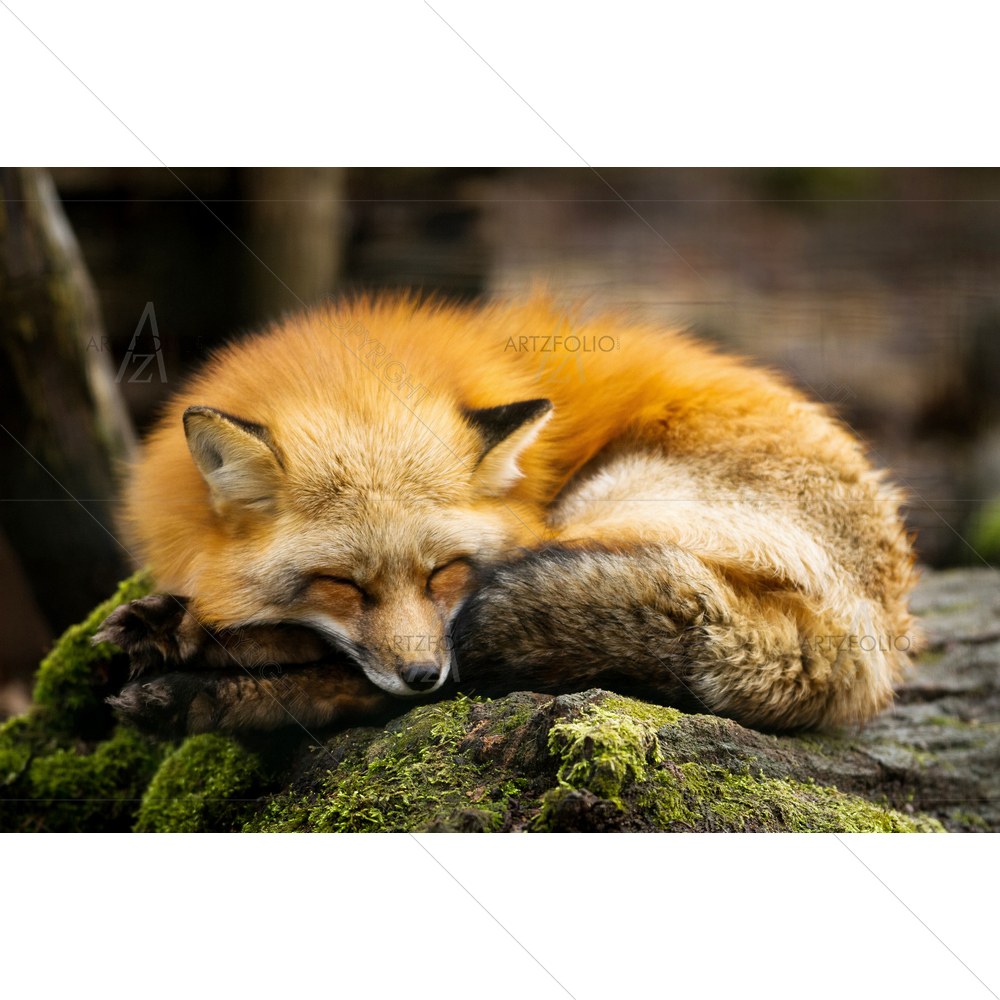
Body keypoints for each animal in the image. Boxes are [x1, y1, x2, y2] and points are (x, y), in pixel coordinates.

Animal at [95, 290, 918, 739]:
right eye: (343, 585)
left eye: (444, 572)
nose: (421, 674)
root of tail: (875, 635)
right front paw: (177, 623)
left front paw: (191, 640)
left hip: (600, 518)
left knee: (413, 681)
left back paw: (193, 689)